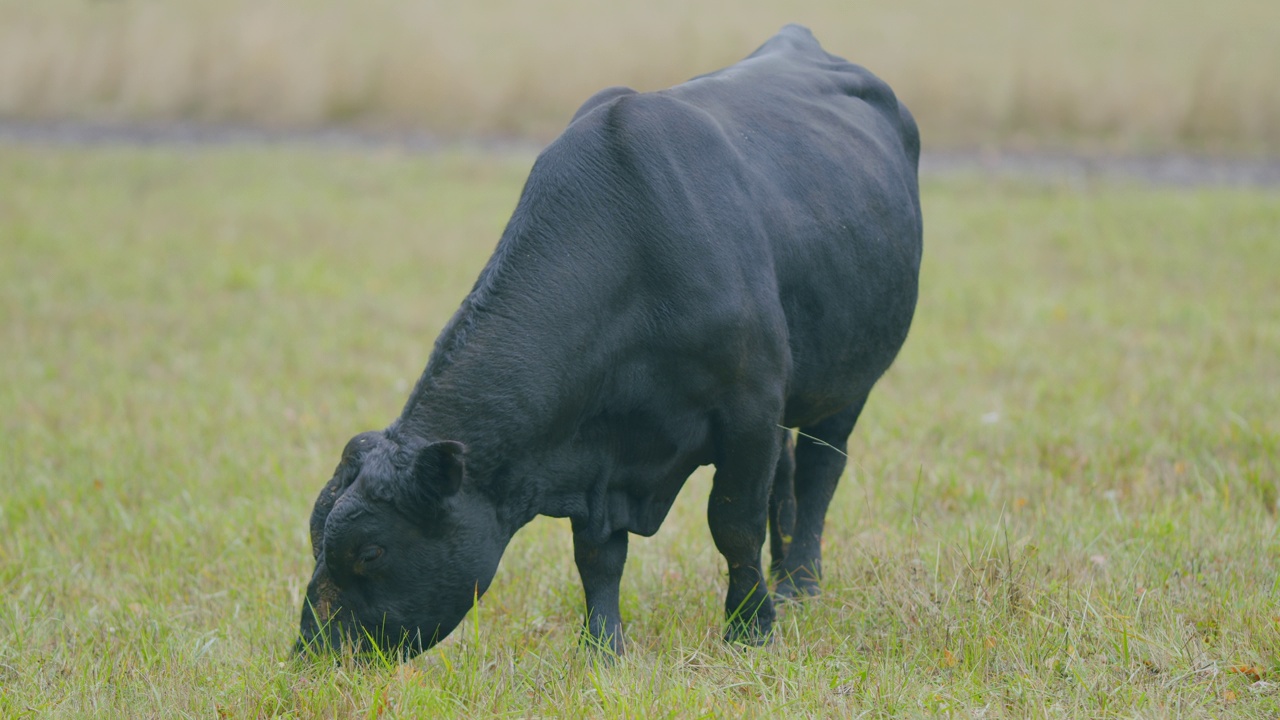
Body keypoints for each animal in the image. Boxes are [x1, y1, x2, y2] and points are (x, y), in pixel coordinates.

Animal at [299, 26, 921, 655]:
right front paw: (603, 646)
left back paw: (798, 584)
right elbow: (597, 554)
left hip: (848, 381)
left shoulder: (749, 408)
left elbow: (733, 525)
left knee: (821, 470)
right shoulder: (595, 449)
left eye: (370, 551)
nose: (312, 650)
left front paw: (751, 628)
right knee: (789, 476)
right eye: (314, 535)